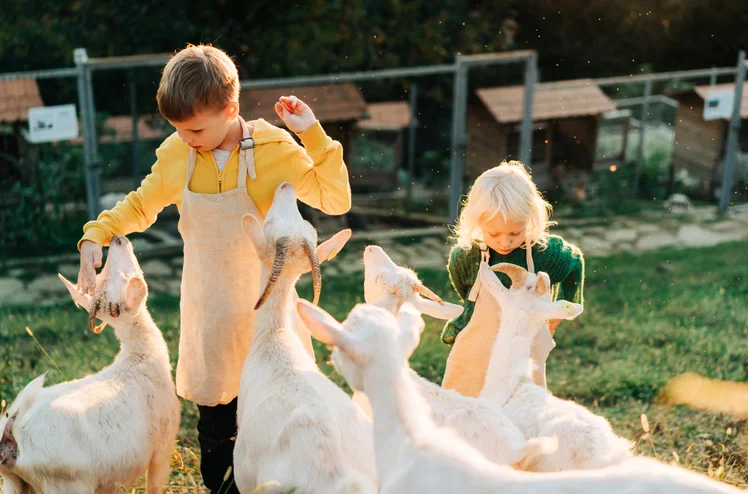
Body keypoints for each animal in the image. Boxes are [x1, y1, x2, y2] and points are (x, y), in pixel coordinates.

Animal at [0, 235, 180, 494]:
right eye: (125, 276)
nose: (118, 238)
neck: (139, 357)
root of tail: (10, 433)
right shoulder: (162, 445)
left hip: (15, 483)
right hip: (65, 482)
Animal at [234, 183, 376, 494]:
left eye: (268, 223)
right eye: (309, 227)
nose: (286, 185)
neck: (274, 335)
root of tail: (341, 477)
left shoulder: (244, 477)